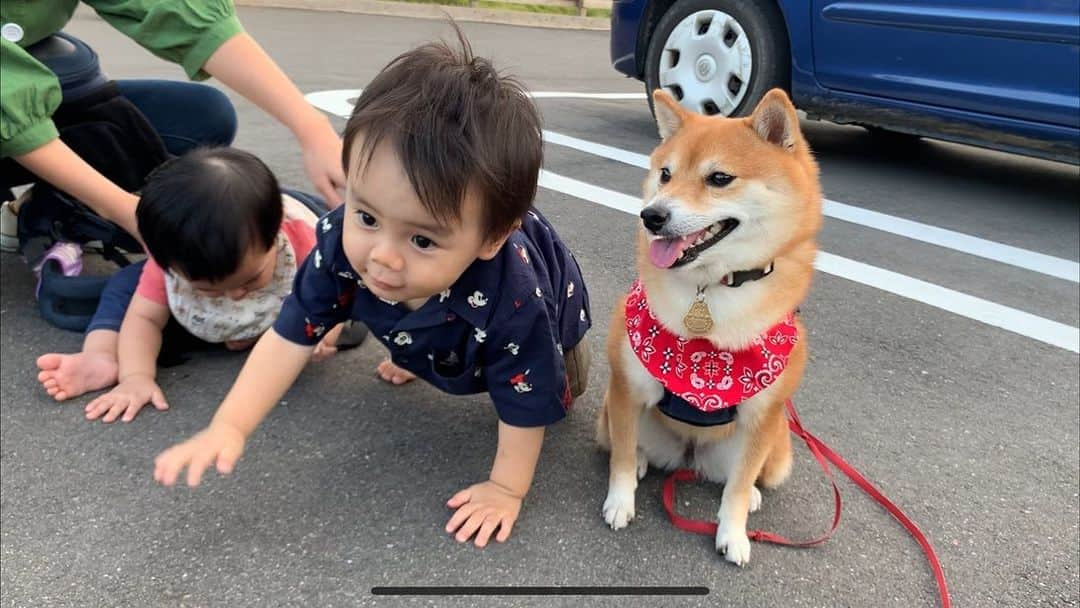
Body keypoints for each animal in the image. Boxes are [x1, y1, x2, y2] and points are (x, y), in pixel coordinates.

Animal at [600, 89, 816, 565]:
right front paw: (620, 501)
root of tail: (688, 453)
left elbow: (737, 488)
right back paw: (642, 460)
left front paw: (732, 532)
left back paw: (753, 497)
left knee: (746, 476)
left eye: (719, 178)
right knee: (628, 442)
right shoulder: (628, 387)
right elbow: (620, 457)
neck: (711, 289)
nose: (651, 215)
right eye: (665, 174)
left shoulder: (763, 415)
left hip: (777, 449)